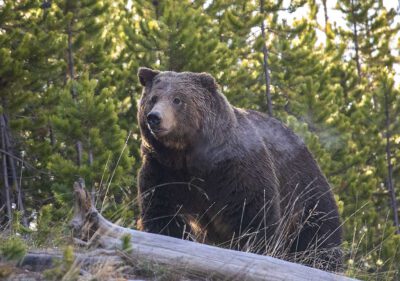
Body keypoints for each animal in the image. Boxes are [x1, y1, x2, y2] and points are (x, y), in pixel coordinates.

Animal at [137, 66, 340, 270]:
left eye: (177, 99)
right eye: (153, 98)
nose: (154, 117)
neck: (187, 155)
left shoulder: (235, 169)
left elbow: (253, 214)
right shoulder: (164, 170)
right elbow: (162, 211)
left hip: (305, 190)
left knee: (319, 234)